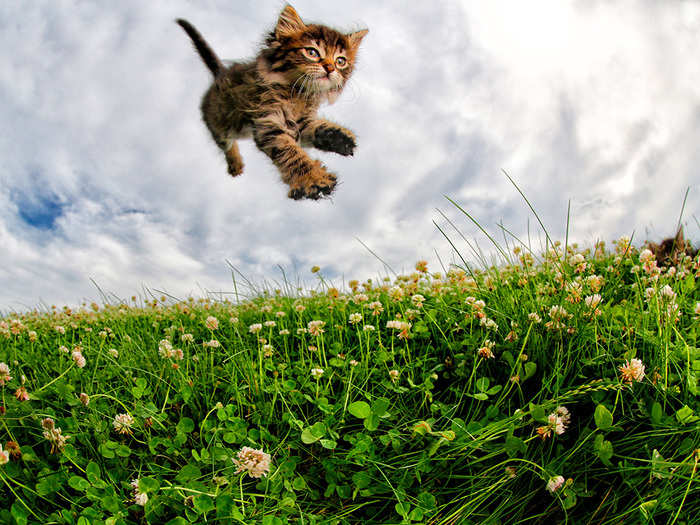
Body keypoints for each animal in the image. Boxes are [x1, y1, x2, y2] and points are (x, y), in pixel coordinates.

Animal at [178, 4, 370, 200]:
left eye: (341, 61)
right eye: (312, 52)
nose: (330, 68)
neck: (299, 93)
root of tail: (220, 74)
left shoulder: (300, 122)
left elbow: (316, 126)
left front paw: (339, 137)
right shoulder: (269, 121)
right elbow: (290, 152)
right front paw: (312, 178)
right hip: (222, 126)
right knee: (227, 144)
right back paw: (235, 164)